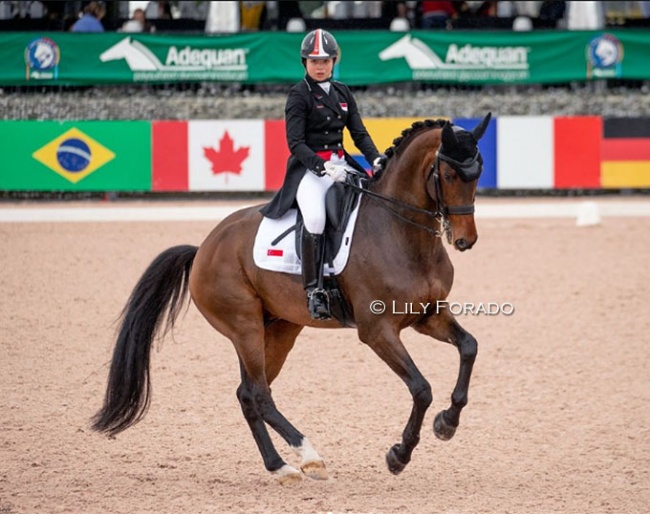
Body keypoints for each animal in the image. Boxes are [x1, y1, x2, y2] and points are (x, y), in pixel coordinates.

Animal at [88, 111, 488, 480]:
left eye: (479, 172)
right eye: (449, 175)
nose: (465, 240)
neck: (399, 232)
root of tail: (203, 248)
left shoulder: (428, 315)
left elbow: (469, 347)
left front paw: (447, 422)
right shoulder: (377, 331)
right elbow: (421, 388)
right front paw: (399, 455)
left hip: (280, 329)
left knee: (248, 393)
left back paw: (279, 465)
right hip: (245, 327)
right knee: (259, 394)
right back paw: (308, 455)